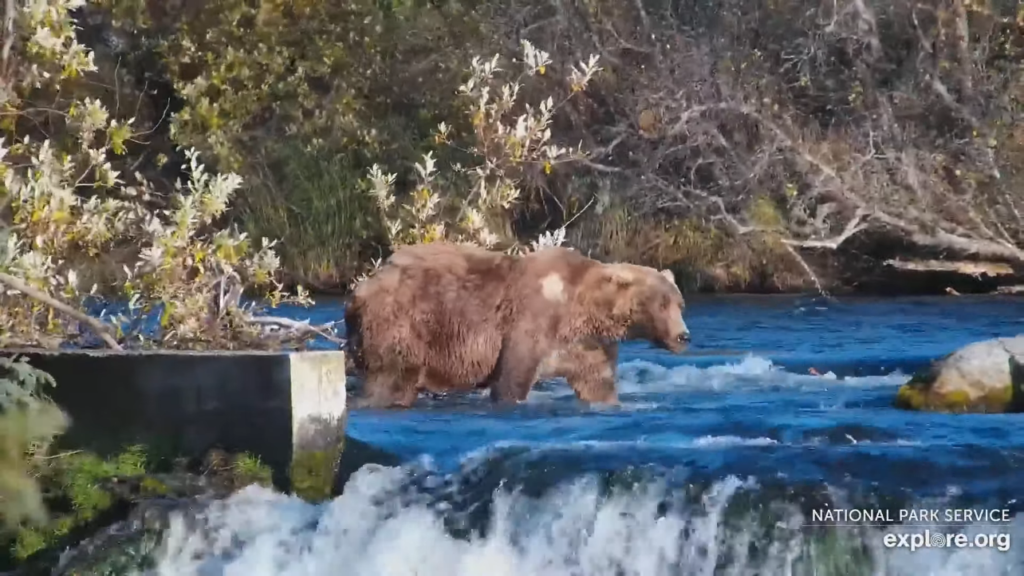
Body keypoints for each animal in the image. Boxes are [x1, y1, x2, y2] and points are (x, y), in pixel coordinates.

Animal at [342, 239, 688, 405]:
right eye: (662, 303)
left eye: (679, 303)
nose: (684, 336)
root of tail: (361, 288)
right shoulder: (532, 320)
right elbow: (512, 380)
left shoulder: (588, 344)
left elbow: (597, 383)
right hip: (404, 323)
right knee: (392, 379)